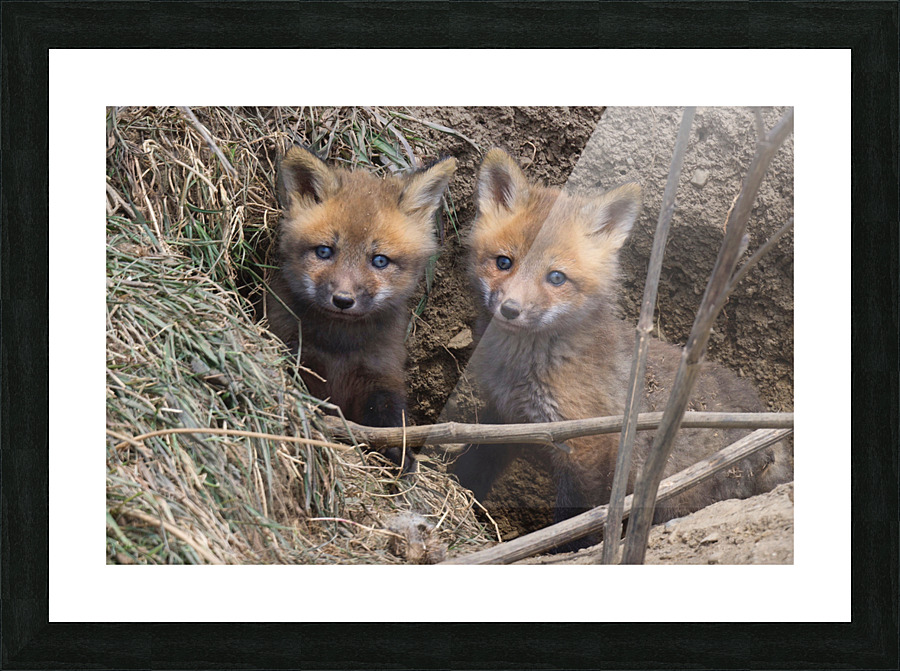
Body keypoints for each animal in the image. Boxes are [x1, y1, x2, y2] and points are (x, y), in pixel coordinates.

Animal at [265, 146, 457, 466]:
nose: (343, 300)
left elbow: (390, 420)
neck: (339, 348)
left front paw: (399, 458)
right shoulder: (299, 358)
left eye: (379, 260)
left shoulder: (381, 375)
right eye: (324, 251)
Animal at [453, 148, 791, 551]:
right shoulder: (503, 420)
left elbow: (576, 517)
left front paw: (567, 548)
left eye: (556, 277)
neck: (520, 371)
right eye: (504, 262)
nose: (510, 310)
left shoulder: (588, 443)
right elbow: (472, 467)